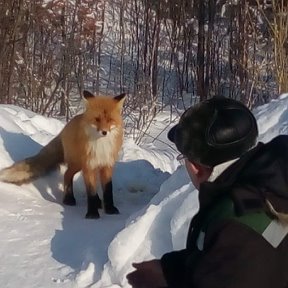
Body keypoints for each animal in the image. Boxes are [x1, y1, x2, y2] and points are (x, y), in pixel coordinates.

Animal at [0, 91, 126, 219]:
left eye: (110, 120)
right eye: (97, 119)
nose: (104, 132)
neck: (101, 145)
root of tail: (65, 127)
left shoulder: (107, 165)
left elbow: (108, 190)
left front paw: (110, 209)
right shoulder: (88, 165)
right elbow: (90, 191)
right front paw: (92, 214)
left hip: (87, 166)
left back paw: (97, 202)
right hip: (78, 163)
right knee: (67, 174)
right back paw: (68, 199)